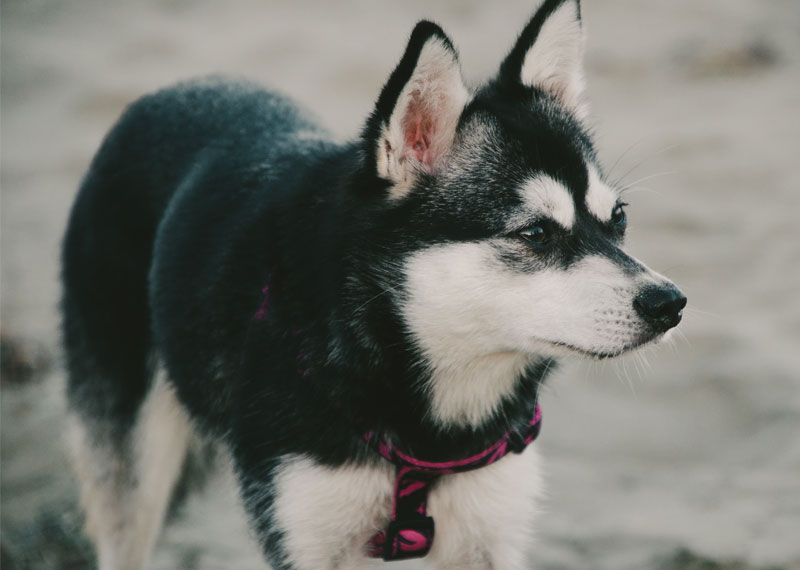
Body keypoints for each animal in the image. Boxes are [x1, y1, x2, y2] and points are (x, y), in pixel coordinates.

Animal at [64, 0, 688, 564]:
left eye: (618, 219)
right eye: (536, 232)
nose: (671, 303)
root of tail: (173, 91)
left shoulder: (490, 530)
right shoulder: (305, 532)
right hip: (131, 464)